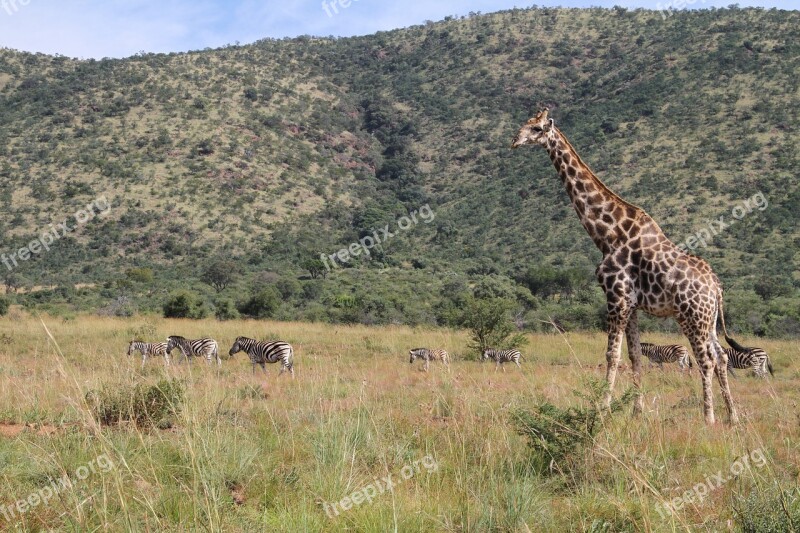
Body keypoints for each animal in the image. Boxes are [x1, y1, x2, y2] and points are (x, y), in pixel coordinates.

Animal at [512, 109, 736, 424]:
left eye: (537, 128)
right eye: (525, 124)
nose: (515, 141)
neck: (607, 235)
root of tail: (716, 287)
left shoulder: (616, 298)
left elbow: (612, 355)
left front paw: (603, 409)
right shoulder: (631, 305)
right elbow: (634, 355)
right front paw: (636, 410)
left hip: (691, 316)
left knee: (706, 359)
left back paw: (709, 417)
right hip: (709, 319)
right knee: (722, 356)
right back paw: (733, 416)